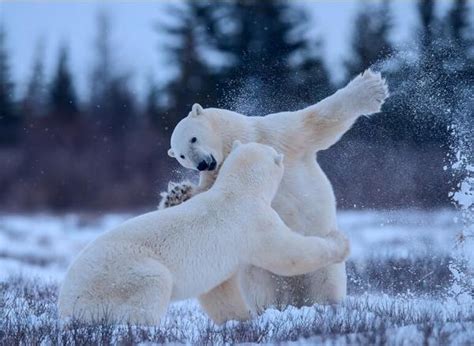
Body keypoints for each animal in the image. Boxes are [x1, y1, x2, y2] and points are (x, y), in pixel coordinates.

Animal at [57, 142, 350, 326]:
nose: (281, 155)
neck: (237, 191)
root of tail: (66, 304)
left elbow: (219, 290)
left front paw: (241, 319)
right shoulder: (254, 223)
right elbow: (288, 254)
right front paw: (340, 243)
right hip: (117, 276)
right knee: (153, 284)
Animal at [162, 69, 388, 324]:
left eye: (193, 138)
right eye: (181, 156)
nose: (202, 163)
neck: (238, 139)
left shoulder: (277, 134)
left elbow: (317, 121)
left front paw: (371, 87)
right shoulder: (216, 178)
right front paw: (176, 194)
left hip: (324, 261)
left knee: (325, 278)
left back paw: (325, 305)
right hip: (259, 268)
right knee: (265, 287)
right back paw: (271, 310)